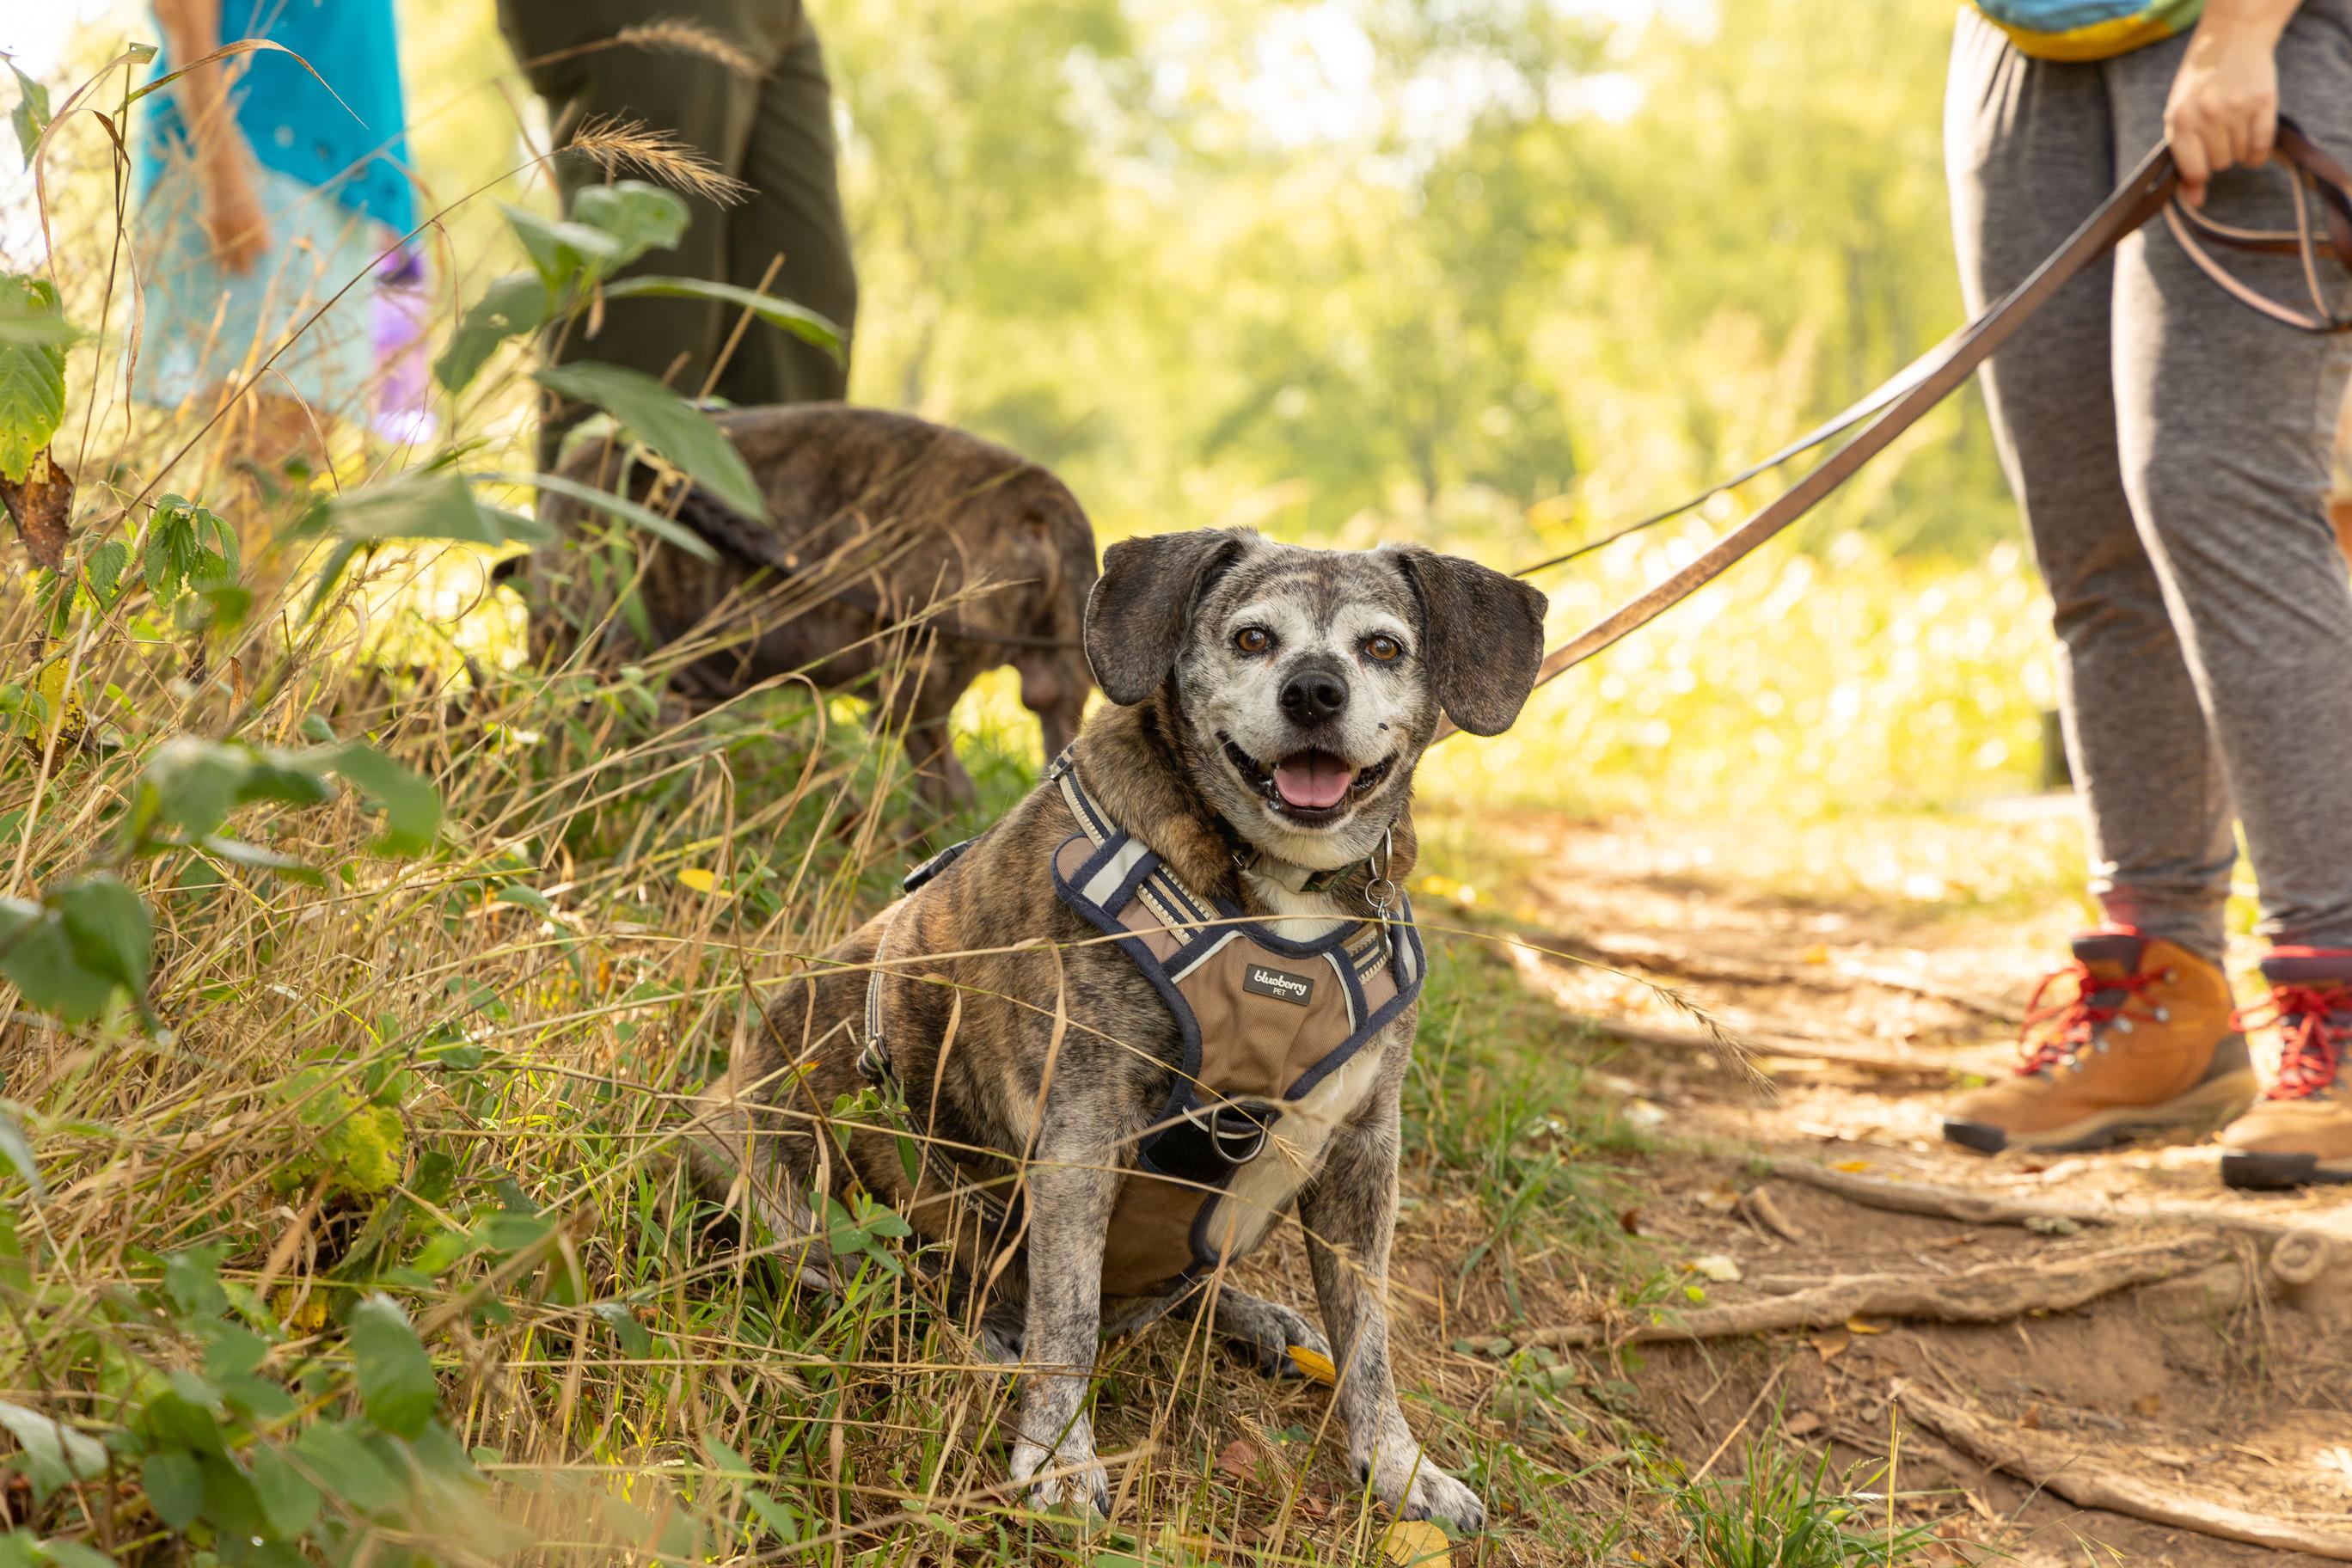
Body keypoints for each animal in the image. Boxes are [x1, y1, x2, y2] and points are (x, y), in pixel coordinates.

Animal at [686, 526, 1552, 1532]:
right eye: (1252, 639)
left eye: (1382, 648)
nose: (1314, 692)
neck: (1281, 894)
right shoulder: (1082, 1133)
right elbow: (1068, 1318)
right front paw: (1059, 1457)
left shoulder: (1364, 1146)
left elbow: (1368, 1333)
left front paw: (1402, 1468)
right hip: (762, 1178)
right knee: (906, 1292)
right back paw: (984, 1343)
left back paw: (1256, 1319)